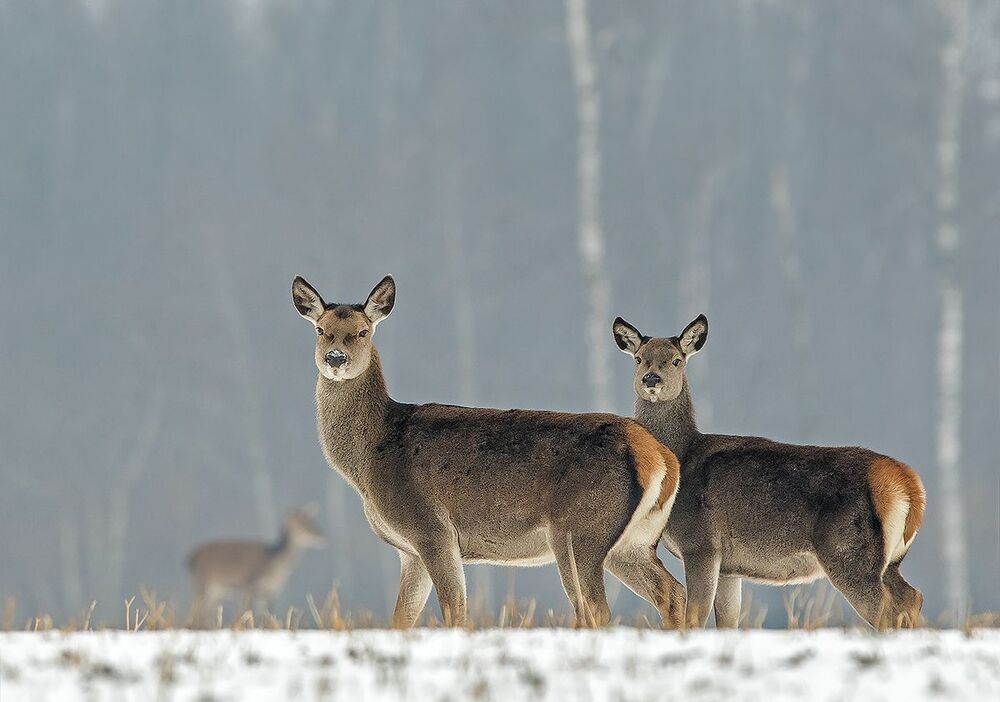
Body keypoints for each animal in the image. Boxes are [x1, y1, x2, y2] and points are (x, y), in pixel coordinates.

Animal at [187, 505, 324, 623]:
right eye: (302, 524)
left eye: (312, 522)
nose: (320, 535)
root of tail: (190, 558)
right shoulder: (249, 584)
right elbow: (248, 611)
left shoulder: (273, 590)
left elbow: (267, 613)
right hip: (203, 583)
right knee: (198, 611)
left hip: (215, 590)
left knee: (205, 611)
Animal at [291, 274, 685, 628]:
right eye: (320, 330)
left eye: (363, 331)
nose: (336, 358)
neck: (369, 459)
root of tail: (660, 457)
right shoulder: (409, 551)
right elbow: (401, 619)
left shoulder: (431, 528)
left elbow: (455, 611)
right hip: (632, 542)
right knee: (672, 592)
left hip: (581, 530)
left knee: (595, 609)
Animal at [612, 314, 926, 630]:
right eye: (639, 358)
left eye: (676, 360)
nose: (651, 378)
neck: (683, 456)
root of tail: (907, 483)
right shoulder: (729, 567)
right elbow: (728, 620)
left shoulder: (700, 542)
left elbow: (696, 617)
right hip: (890, 560)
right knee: (911, 597)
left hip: (849, 551)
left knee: (888, 610)